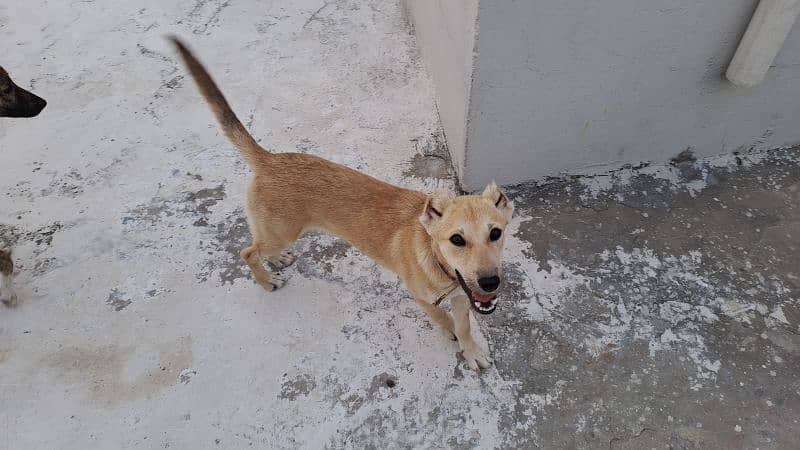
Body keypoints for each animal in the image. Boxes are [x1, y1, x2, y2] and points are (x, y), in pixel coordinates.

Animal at [172, 37, 516, 370]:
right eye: (457, 239)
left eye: (495, 234)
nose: (489, 282)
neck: (435, 259)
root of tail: (270, 160)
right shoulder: (421, 297)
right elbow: (442, 318)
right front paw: (450, 333)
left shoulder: (463, 296)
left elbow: (465, 326)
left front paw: (471, 350)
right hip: (281, 232)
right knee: (247, 252)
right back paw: (266, 280)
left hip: (275, 232)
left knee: (258, 247)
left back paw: (277, 260)